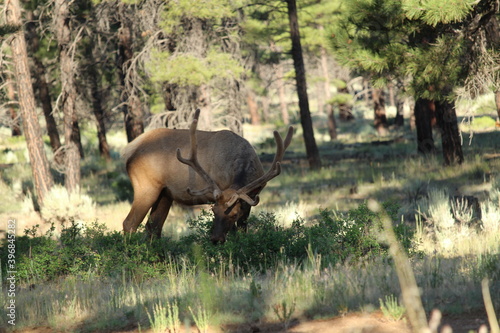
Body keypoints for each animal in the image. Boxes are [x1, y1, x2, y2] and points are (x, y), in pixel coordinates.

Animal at [121, 109, 292, 241]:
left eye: (234, 215)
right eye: (213, 211)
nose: (215, 239)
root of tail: (130, 149)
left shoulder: (251, 198)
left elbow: (242, 230)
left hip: (165, 194)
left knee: (153, 228)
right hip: (146, 186)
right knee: (129, 223)